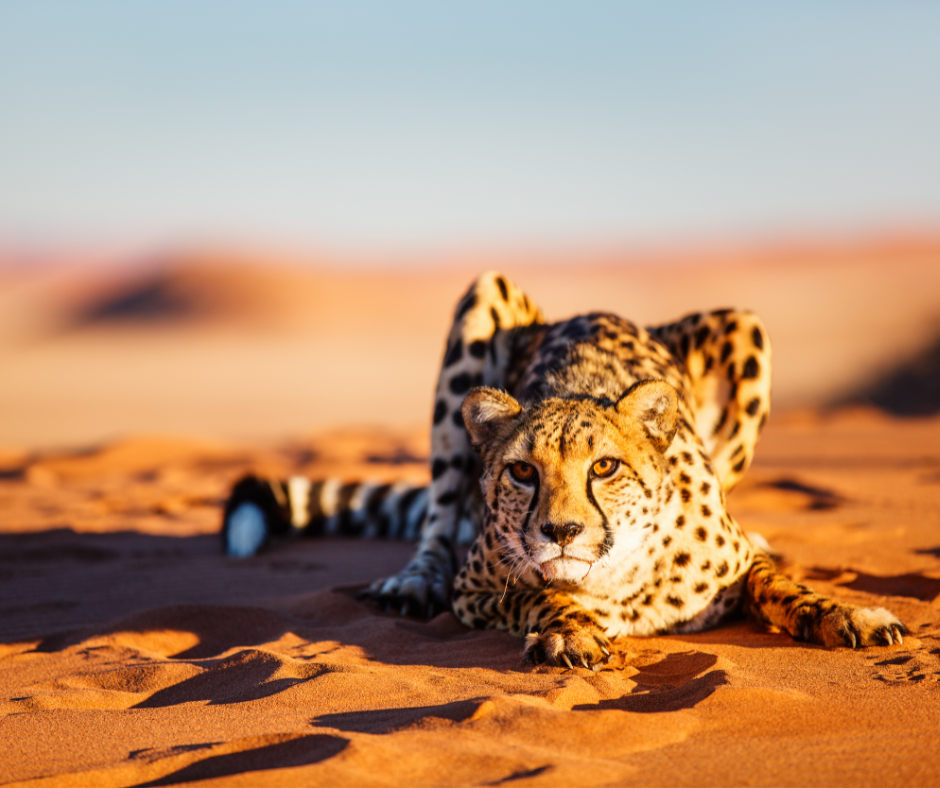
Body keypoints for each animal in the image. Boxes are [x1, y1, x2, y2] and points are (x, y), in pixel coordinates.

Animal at [222, 271, 906, 668]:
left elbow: (778, 582)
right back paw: (414, 581)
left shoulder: (735, 559)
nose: (561, 532)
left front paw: (847, 613)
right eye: (523, 472)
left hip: (744, 328)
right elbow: (537, 593)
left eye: (604, 467)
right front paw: (569, 630)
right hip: (480, 303)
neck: (619, 572)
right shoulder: (474, 592)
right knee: (438, 518)